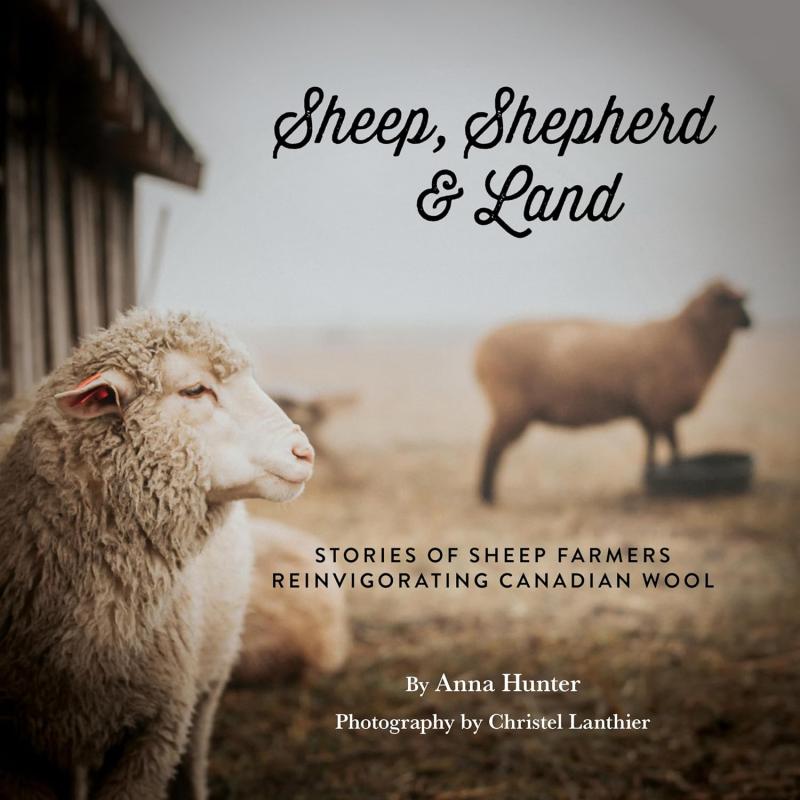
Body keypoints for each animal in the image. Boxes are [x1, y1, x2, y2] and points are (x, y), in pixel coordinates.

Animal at [475, 280, 752, 503]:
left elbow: (654, 444)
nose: (750, 321)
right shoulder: (662, 407)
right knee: (492, 448)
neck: (690, 338)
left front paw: (652, 474)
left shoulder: (650, 412)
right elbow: (674, 447)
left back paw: (487, 494)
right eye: (732, 301)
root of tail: (479, 352)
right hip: (510, 408)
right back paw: (487, 495)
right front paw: (674, 476)